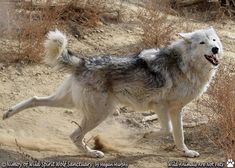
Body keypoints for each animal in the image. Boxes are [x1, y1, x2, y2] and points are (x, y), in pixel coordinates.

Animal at [2, 26, 222, 158]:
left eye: (213, 40)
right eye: (202, 43)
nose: (215, 49)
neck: (185, 65)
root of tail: (83, 62)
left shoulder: (176, 110)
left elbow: (179, 135)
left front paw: (186, 152)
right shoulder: (161, 106)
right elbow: (167, 131)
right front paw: (141, 137)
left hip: (69, 103)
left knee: (34, 98)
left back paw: (7, 114)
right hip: (100, 113)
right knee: (74, 135)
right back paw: (93, 153)